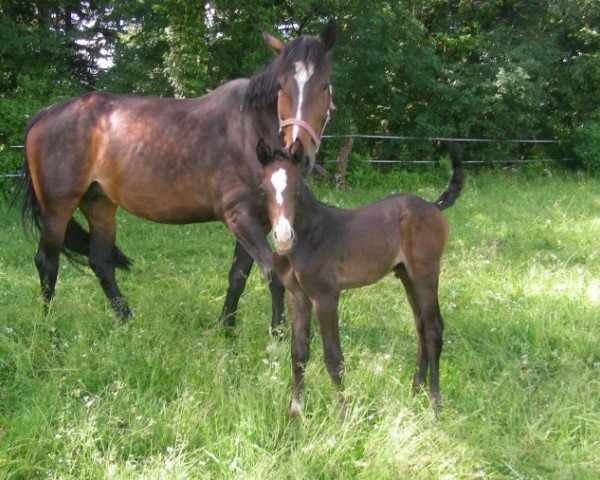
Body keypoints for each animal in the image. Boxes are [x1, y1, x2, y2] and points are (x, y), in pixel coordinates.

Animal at [256, 139, 464, 416]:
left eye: (298, 187)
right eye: (262, 188)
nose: (283, 237)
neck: (309, 234)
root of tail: (433, 206)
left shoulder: (325, 296)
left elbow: (333, 358)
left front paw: (344, 415)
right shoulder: (296, 296)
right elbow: (298, 354)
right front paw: (295, 414)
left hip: (426, 273)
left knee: (433, 330)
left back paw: (434, 405)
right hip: (407, 275)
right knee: (420, 326)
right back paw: (414, 392)